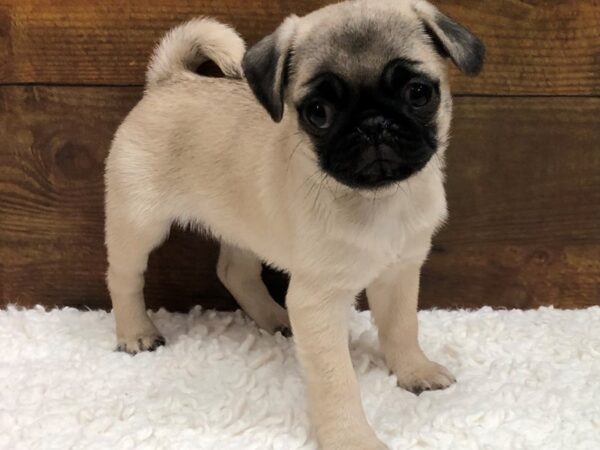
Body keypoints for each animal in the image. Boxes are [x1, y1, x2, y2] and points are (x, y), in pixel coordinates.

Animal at [105, 1, 486, 448]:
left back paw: (274, 319)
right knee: (124, 276)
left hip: (243, 226)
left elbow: (402, 327)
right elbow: (337, 382)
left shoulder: (400, 274)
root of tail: (170, 80)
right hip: (139, 220)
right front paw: (351, 438)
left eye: (418, 93)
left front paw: (414, 372)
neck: (377, 200)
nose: (373, 124)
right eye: (318, 113)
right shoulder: (318, 302)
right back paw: (136, 332)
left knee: (234, 272)